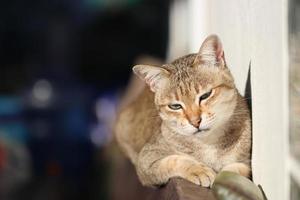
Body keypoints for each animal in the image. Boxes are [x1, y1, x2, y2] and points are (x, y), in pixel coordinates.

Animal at [114, 34, 251, 188]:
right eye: (175, 106)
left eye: (205, 95)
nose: (195, 122)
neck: (208, 143)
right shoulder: (146, 161)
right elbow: (174, 160)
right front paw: (199, 170)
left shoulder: (245, 162)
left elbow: (236, 170)